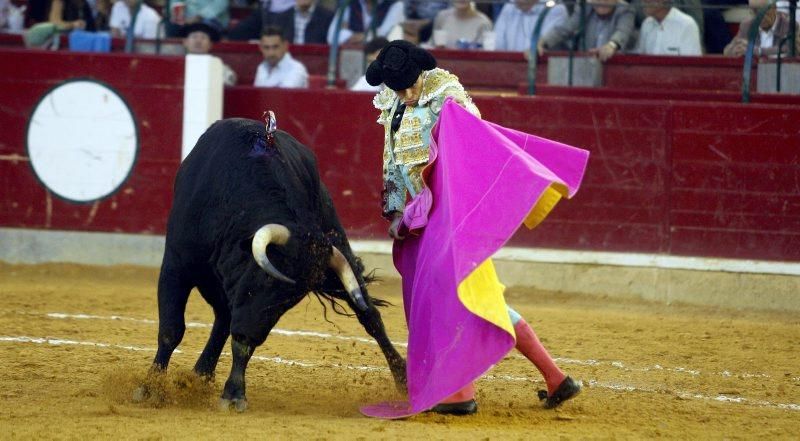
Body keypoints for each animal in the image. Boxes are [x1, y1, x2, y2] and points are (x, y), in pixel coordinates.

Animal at [147, 118, 406, 410]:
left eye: (291, 300)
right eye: (268, 277)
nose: (249, 333)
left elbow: (240, 344)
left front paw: (234, 393)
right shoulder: (175, 266)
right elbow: (171, 330)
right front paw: (150, 388)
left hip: (335, 238)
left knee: (369, 315)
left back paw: (404, 379)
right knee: (222, 320)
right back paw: (199, 376)